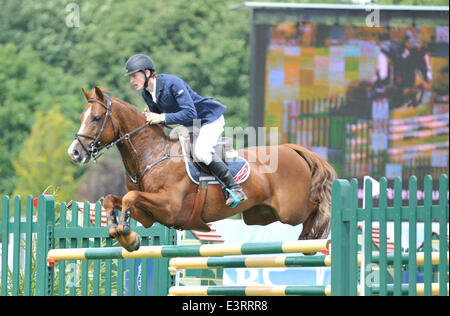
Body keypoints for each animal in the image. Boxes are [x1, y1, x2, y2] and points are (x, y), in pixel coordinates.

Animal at [68, 87, 338, 252]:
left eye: (96, 118)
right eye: (81, 116)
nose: (74, 152)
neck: (153, 154)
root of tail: (291, 149)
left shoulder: (169, 207)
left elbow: (131, 196)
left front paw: (125, 232)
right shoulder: (149, 216)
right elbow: (113, 200)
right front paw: (123, 233)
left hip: (290, 210)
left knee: (315, 206)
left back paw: (316, 234)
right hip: (260, 214)